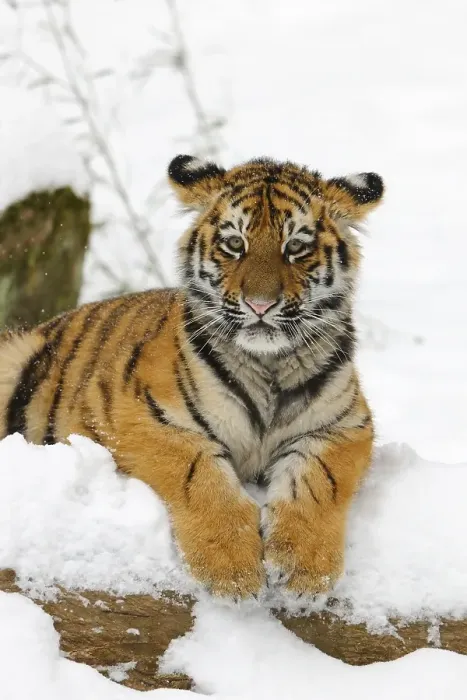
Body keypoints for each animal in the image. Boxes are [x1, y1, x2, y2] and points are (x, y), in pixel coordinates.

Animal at [0, 155, 383, 598]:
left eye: (296, 247)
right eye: (234, 244)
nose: (260, 305)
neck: (268, 366)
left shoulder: (344, 425)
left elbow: (319, 480)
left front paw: (304, 570)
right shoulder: (145, 417)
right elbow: (199, 477)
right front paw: (232, 571)